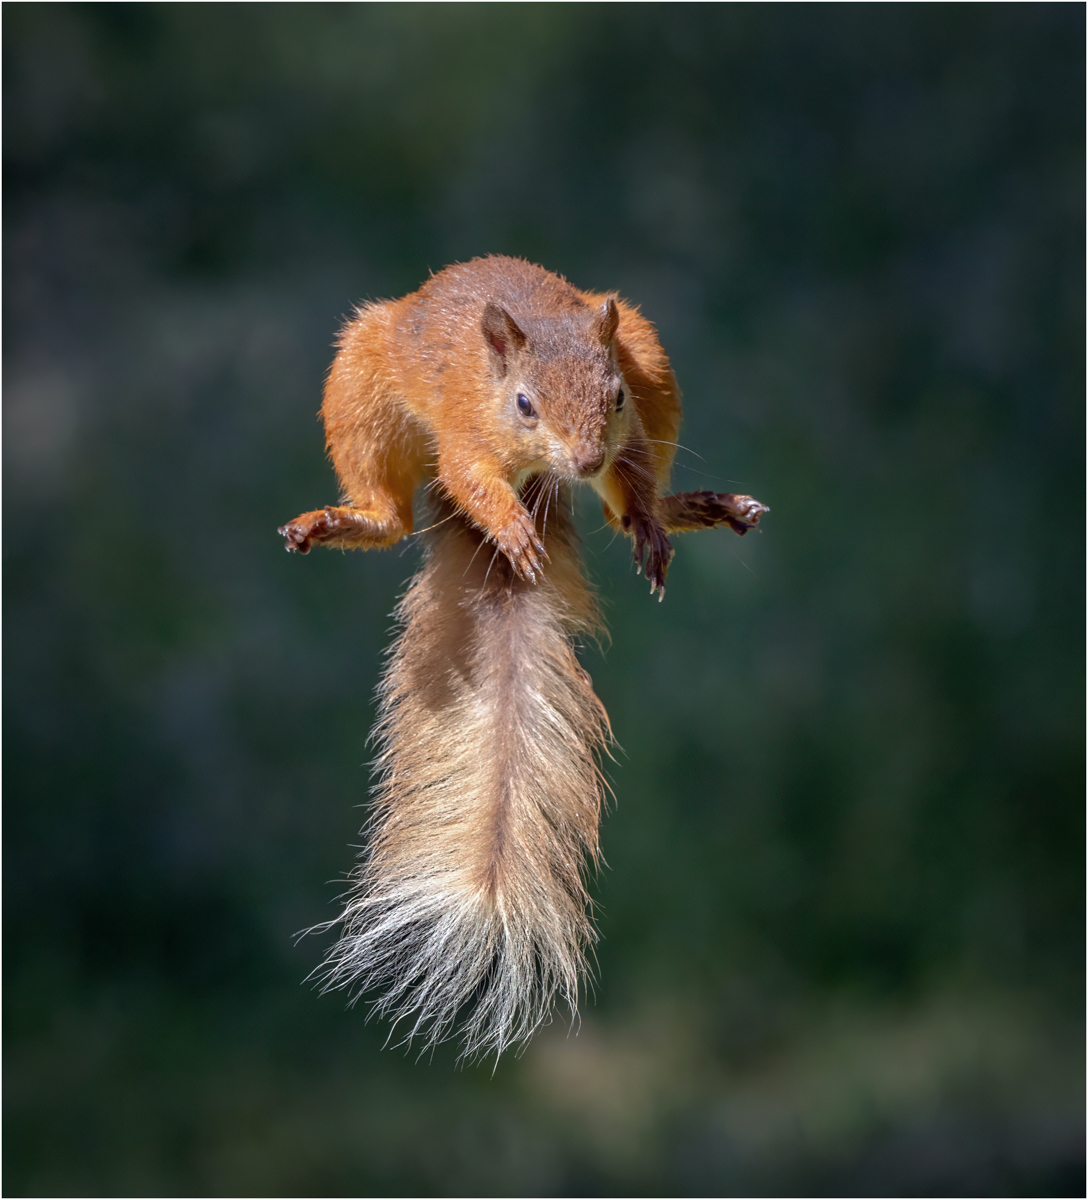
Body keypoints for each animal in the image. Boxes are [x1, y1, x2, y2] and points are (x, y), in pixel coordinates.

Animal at [279, 256, 767, 1058]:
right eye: (525, 404)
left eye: (614, 394)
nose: (587, 457)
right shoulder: (464, 435)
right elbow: (474, 479)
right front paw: (512, 532)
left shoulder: (633, 422)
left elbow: (633, 478)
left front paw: (643, 518)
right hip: (361, 385)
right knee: (389, 514)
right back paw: (347, 520)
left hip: (650, 355)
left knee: (626, 501)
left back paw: (680, 512)